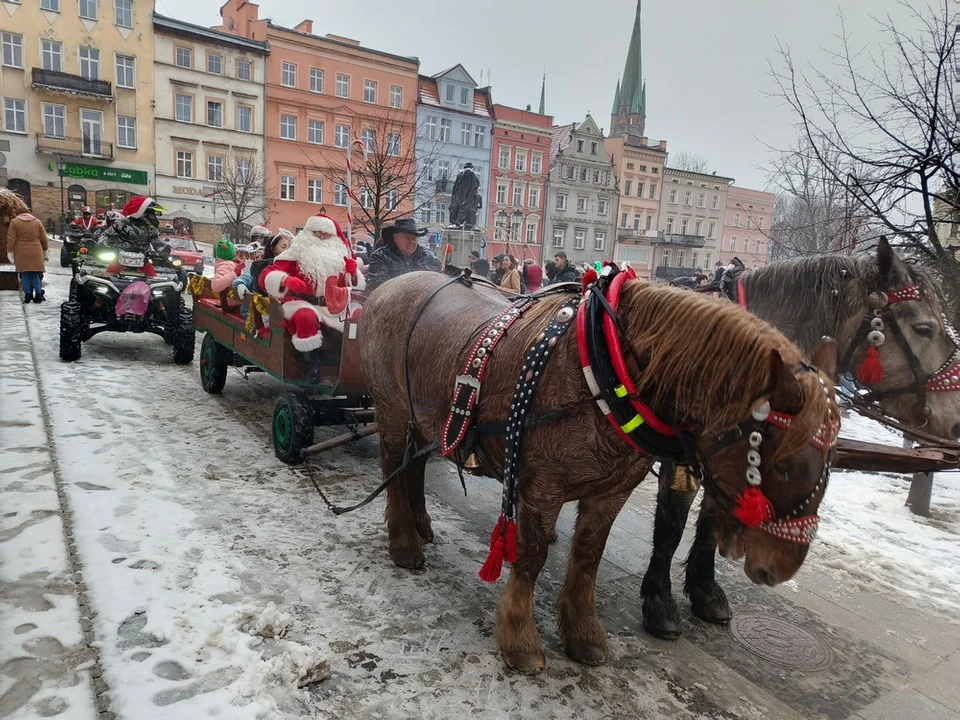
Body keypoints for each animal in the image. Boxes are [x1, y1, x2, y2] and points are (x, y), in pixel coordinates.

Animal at [360, 270, 840, 676]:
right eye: (783, 464)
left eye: (830, 462)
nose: (778, 567)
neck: (606, 370)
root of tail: (388, 286)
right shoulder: (542, 487)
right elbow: (531, 557)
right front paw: (519, 635)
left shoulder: (613, 489)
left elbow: (589, 554)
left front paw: (582, 631)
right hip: (392, 411)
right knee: (393, 470)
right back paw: (404, 541)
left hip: (426, 419)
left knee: (413, 467)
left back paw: (420, 525)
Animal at [640, 235, 960, 636]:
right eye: (923, 329)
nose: (956, 421)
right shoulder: (684, 455)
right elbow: (672, 522)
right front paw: (658, 597)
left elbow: (712, 519)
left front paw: (705, 589)